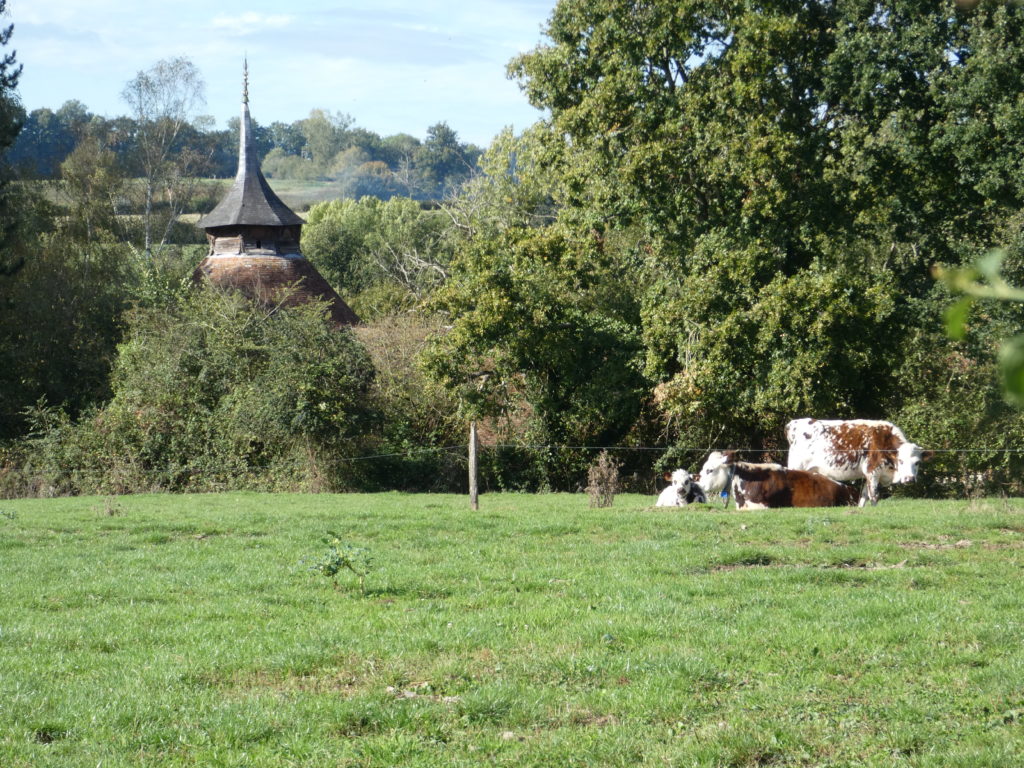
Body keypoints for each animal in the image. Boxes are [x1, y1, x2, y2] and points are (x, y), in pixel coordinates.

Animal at [782, 417, 937, 507]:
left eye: (917, 462)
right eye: (901, 461)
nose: (909, 479)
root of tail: (793, 423)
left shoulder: (870, 475)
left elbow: (864, 496)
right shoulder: (872, 471)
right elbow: (874, 496)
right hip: (796, 466)